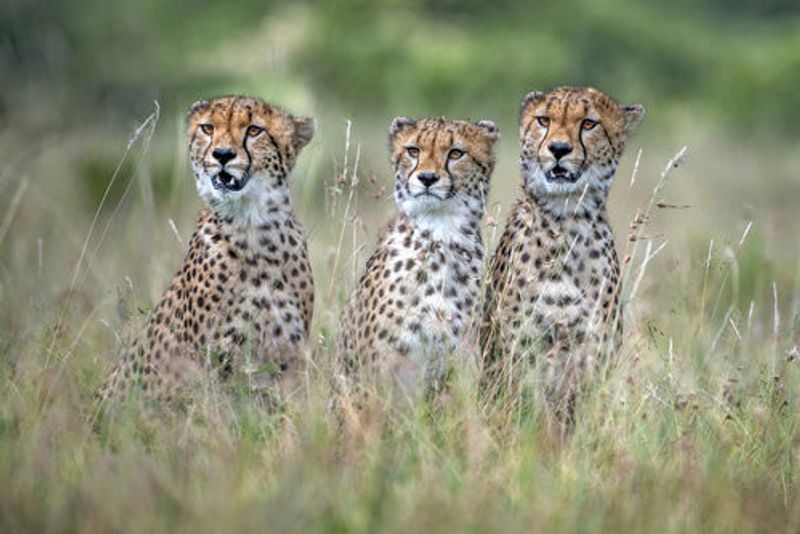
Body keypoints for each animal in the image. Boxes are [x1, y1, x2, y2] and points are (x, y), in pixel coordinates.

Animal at [94, 95, 316, 408]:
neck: (252, 224)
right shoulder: (211, 360)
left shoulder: (288, 357)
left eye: (254, 130)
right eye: (208, 128)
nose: (222, 154)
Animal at [481, 86, 644, 418]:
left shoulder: (593, 355)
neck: (567, 220)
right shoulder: (521, 354)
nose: (558, 148)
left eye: (589, 124)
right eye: (544, 120)